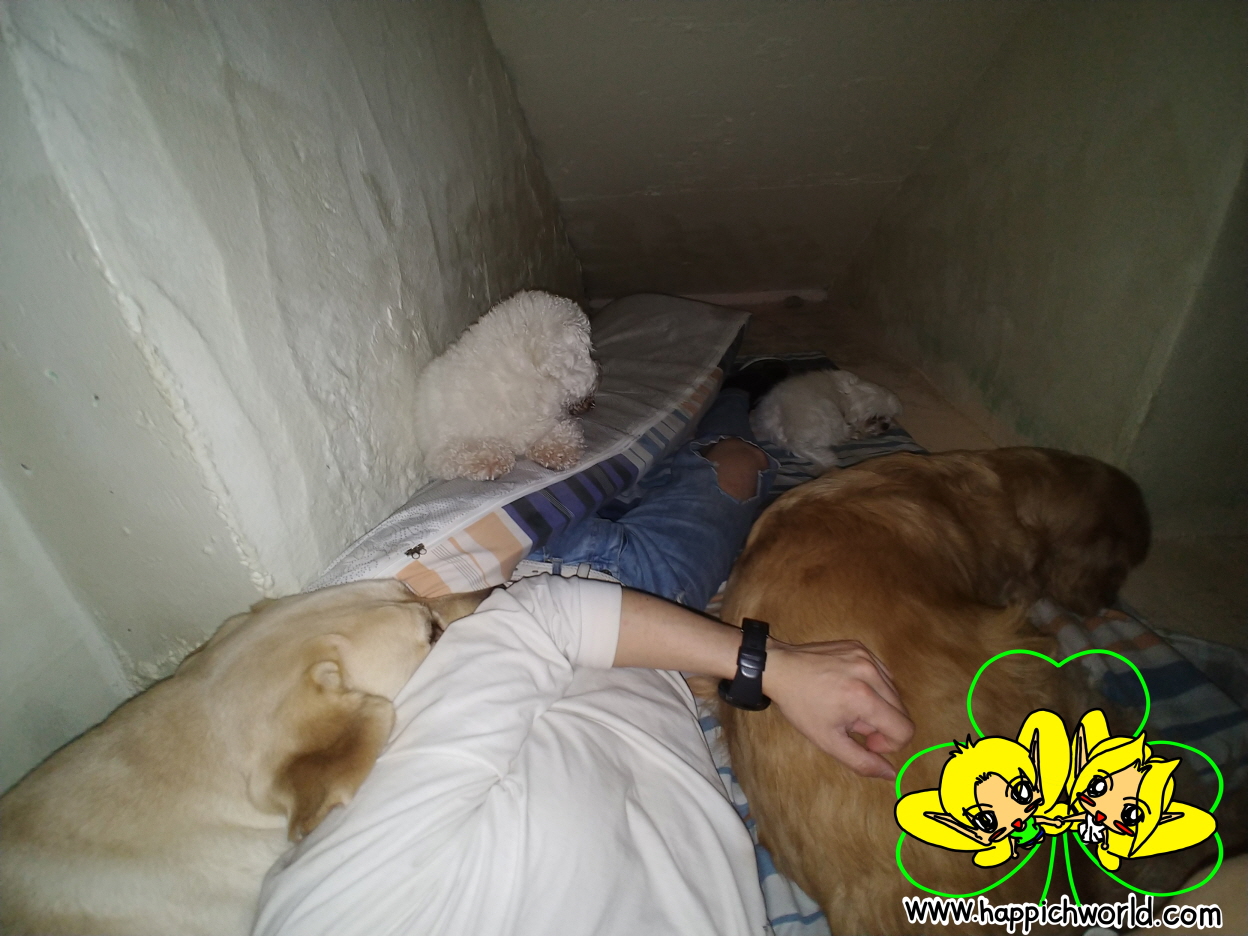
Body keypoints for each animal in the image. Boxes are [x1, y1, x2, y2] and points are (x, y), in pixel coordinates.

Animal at [414, 290, 598, 481]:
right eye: (587, 347)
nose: (595, 375)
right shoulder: (441, 452)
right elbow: (467, 451)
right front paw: (492, 458)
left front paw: (556, 449)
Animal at [749, 368, 902, 469]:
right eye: (874, 418)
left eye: (889, 416)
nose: (885, 426)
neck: (847, 396)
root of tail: (795, 439)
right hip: (829, 410)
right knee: (840, 436)